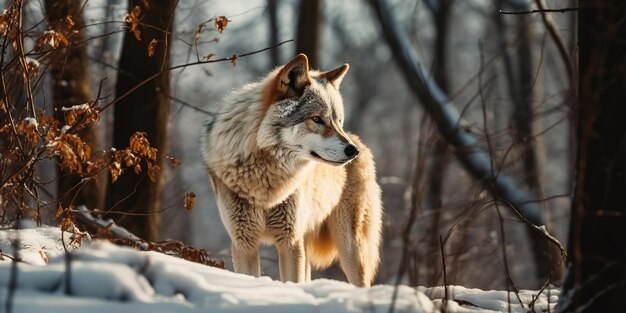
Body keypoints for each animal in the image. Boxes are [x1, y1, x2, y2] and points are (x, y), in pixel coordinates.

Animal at [202, 53, 382, 286]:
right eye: (317, 119)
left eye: (338, 121)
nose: (353, 151)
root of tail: (362, 143)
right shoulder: (244, 242)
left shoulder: (289, 242)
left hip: (350, 249)